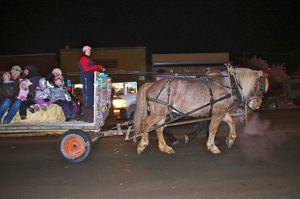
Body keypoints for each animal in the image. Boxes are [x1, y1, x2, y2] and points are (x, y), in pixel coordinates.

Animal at [132, 65, 268, 154]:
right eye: (261, 86)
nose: (258, 104)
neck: (227, 84)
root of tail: (151, 84)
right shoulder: (218, 112)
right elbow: (213, 128)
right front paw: (212, 146)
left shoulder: (221, 111)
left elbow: (231, 122)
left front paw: (230, 139)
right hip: (158, 112)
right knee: (146, 124)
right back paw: (143, 144)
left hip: (163, 113)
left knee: (159, 128)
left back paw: (165, 147)